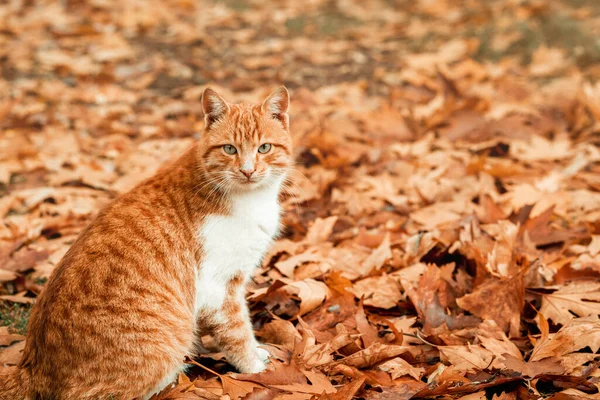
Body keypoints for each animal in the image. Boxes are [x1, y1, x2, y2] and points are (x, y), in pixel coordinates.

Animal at [0, 87, 292, 400]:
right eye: (229, 149)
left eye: (264, 148)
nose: (248, 171)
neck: (249, 199)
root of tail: (31, 371)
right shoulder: (220, 287)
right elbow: (238, 332)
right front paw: (256, 369)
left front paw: (258, 355)